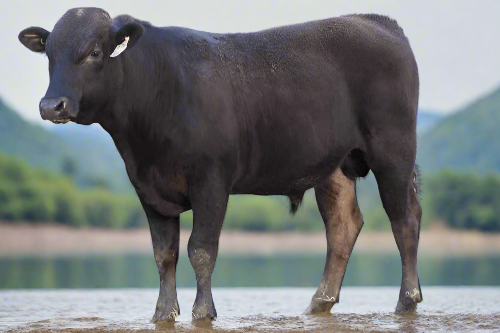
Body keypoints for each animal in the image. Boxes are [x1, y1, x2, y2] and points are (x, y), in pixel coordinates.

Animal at [18, 7, 422, 322]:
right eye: (49, 54)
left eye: (95, 51)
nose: (52, 105)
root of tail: (377, 22)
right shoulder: (146, 188)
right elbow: (164, 254)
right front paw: (163, 313)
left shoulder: (211, 178)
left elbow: (200, 250)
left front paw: (203, 312)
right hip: (334, 167)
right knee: (343, 225)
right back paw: (318, 303)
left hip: (394, 149)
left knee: (404, 219)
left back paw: (407, 300)